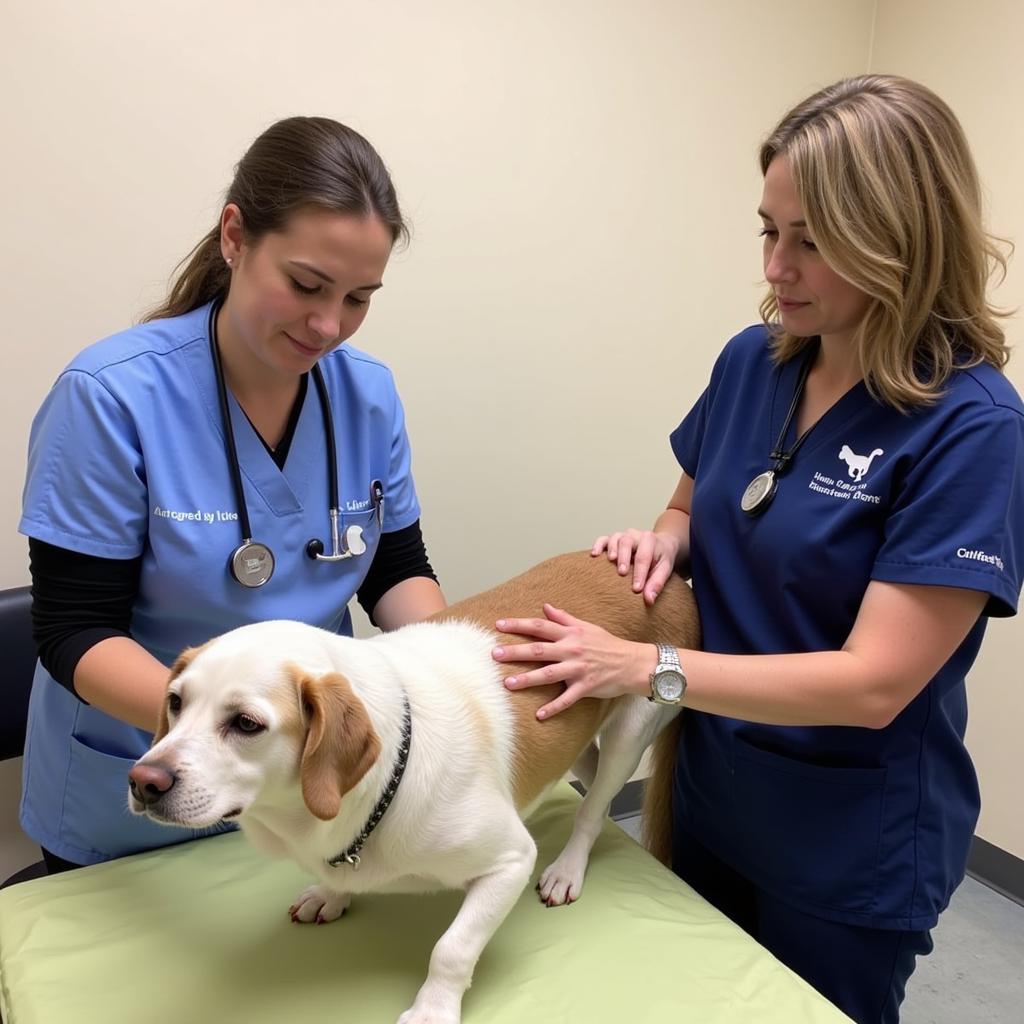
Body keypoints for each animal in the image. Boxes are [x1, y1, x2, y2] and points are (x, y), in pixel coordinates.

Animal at [128, 552, 700, 1024]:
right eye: (175, 702)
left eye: (246, 724)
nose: (143, 781)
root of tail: (669, 579)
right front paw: (330, 893)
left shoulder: (510, 861)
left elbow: (452, 949)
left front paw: (432, 1009)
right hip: (572, 726)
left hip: (634, 725)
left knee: (594, 806)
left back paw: (567, 869)